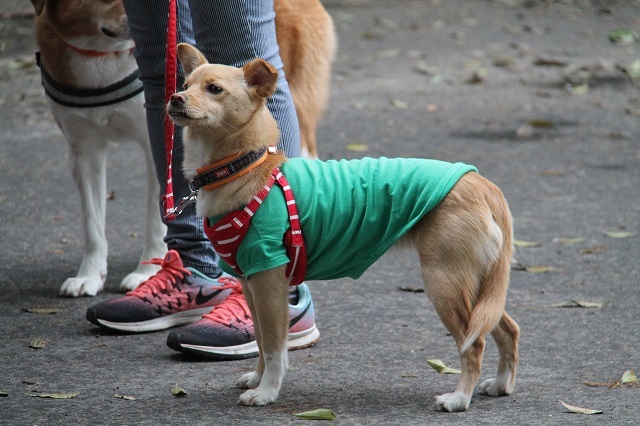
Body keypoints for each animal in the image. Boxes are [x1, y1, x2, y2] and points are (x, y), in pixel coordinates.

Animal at [31, 0, 336, 296]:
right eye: (185, 84)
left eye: (214, 89)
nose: (176, 97)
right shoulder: (83, 149)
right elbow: (92, 224)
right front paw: (89, 276)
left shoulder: (154, 147)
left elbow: (155, 220)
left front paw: (146, 271)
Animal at [168, 44, 516, 412]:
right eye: (186, 84)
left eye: (214, 89)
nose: (175, 98)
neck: (245, 167)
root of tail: (479, 181)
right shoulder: (251, 285)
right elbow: (261, 342)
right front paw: (258, 379)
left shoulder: (269, 283)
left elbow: (275, 348)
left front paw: (267, 391)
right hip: (479, 288)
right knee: (507, 329)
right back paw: (501, 383)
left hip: (444, 283)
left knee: (474, 344)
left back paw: (459, 398)